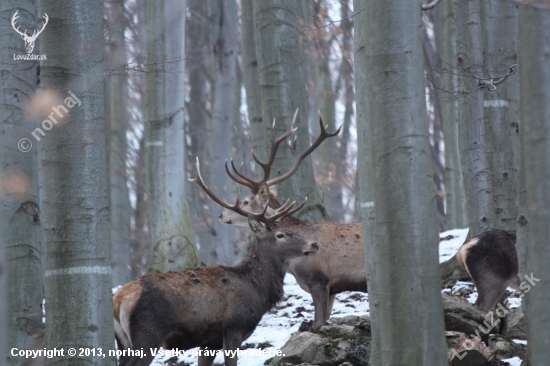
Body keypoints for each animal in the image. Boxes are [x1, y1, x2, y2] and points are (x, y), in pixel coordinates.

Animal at [112, 180, 320, 366]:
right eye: (280, 235)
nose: (314, 244)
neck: (257, 289)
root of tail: (119, 299)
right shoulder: (234, 328)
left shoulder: (209, 341)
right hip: (148, 334)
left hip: (123, 342)